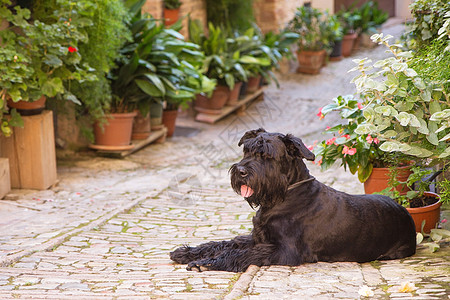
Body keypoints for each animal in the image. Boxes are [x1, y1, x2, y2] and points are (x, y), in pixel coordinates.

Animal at [171, 128, 416, 272]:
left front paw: (205, 263)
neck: (283, 196)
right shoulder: (258, 238)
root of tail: (407, 214)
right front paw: (187, 252)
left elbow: (241, 252)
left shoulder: (285, 250)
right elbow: (223, 243)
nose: (240, 171)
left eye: (267, 155)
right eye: (247, 150)